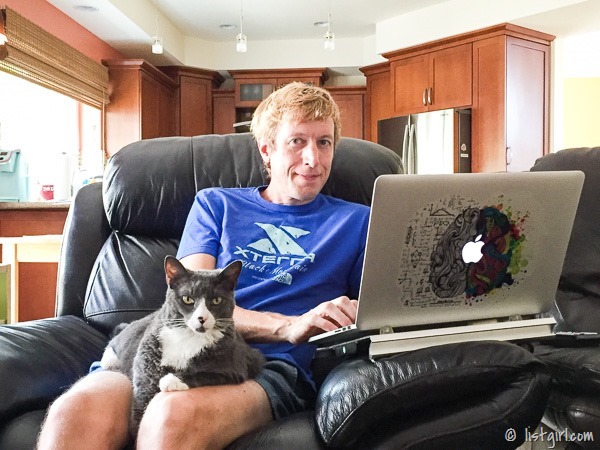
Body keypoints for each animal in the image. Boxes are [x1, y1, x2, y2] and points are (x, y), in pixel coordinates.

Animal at [99, 256, 265, 437]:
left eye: (216, 300)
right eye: (187, 299)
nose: (202, 318)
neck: (189, 337)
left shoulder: (235, 367)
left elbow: (206, 373)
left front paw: (171, 380)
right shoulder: (146, 365)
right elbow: (142, 399)